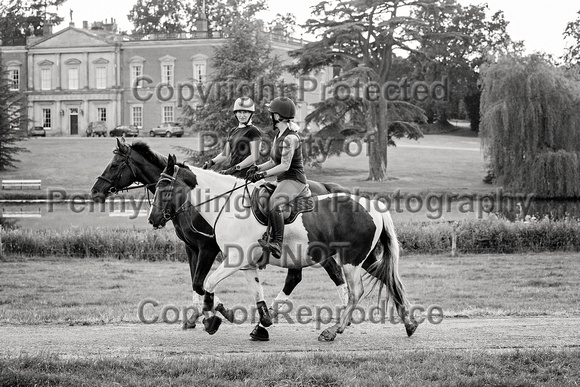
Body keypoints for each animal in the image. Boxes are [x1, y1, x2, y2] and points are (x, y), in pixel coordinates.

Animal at [92, 139, 348, 328]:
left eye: (114, 165)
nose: (95, 191)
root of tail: (325, 187)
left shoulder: (208, 248)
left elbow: (200, 282)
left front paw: (219, 311)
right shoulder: (191, 247)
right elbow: (195, 281)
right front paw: (197, 315)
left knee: (325, 274)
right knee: (298, 277)